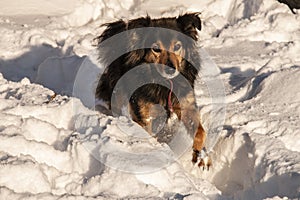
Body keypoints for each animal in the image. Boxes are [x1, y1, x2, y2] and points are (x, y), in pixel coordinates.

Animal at [95, 12, 211, 169]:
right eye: (156, 48)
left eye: (177, 46)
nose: (170, 69)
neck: (164, 83)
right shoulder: (143, 114)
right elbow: (148, 134)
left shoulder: (187, 105)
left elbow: (200, 132)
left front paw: (201, 156)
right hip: (117, 92)